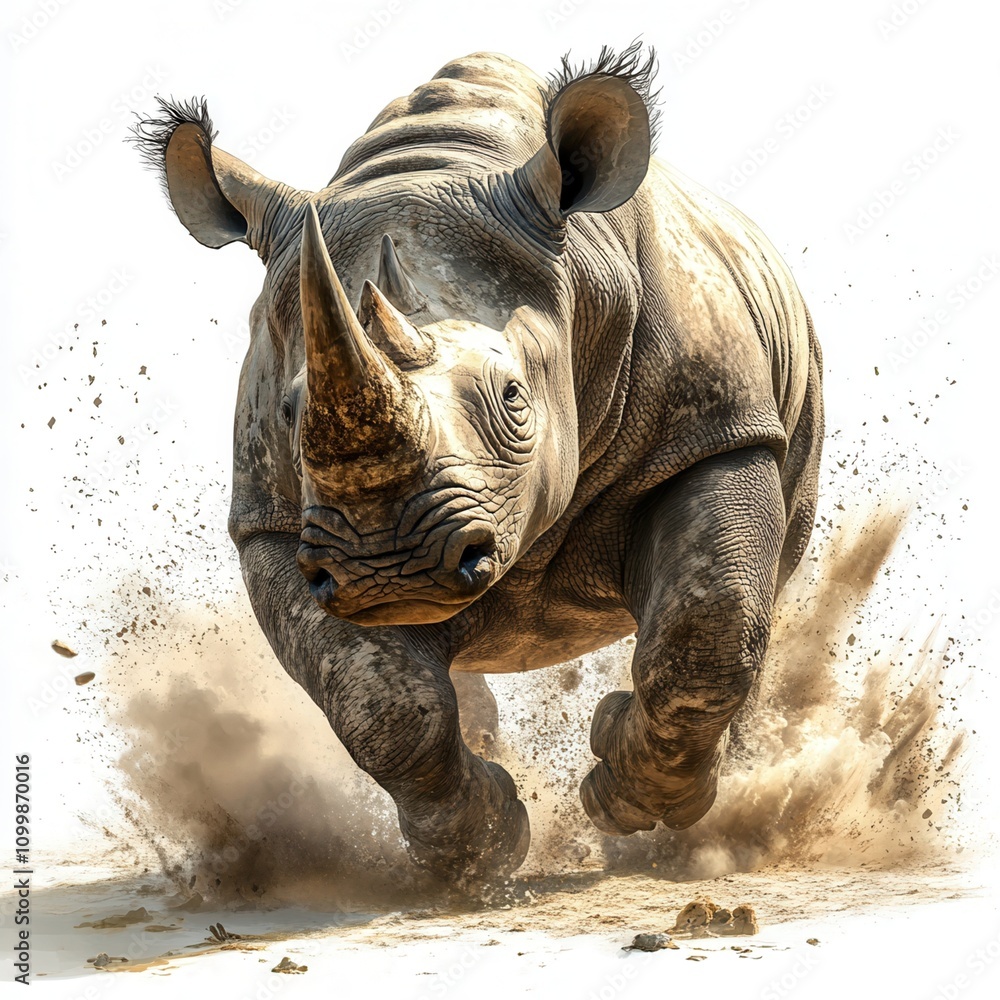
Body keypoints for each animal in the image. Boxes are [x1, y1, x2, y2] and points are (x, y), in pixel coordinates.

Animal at [131, 43, 823, 880]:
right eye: (292, 416)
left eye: (514, 397)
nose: (390, 570)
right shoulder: (272, 521)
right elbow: (379, 699)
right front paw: (479, 851)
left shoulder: (717, 429)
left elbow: (708, 619)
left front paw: (624, 803)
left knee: (757, 592)